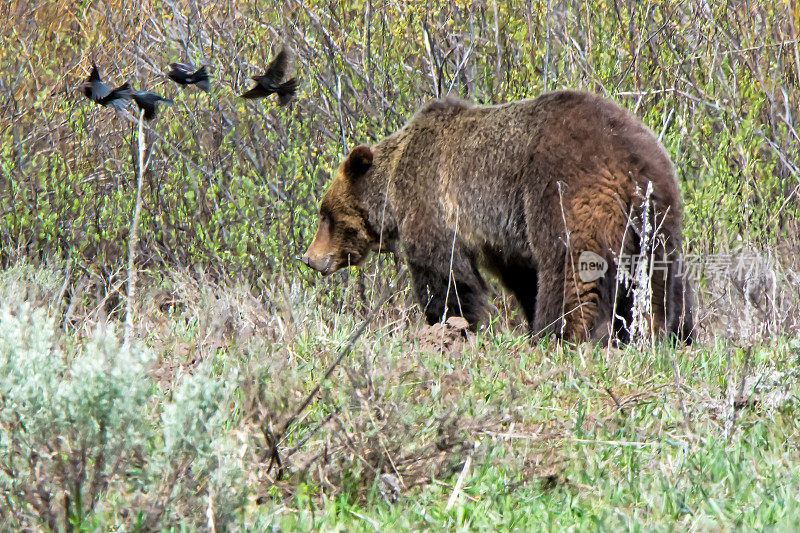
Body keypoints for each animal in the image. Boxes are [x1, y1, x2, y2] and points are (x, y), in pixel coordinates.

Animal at [300, 90, 692, 342]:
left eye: (324, 215)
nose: (309, 258)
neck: (393, 192)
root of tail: (628, 160)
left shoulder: (434, 203)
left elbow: (445, 276)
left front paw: (450, 326)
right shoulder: (502, 237)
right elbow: (522, 276)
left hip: (564, 191)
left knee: (569, 269)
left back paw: (559, 334)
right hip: (658, 210)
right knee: (664, 278)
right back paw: (672, 333)